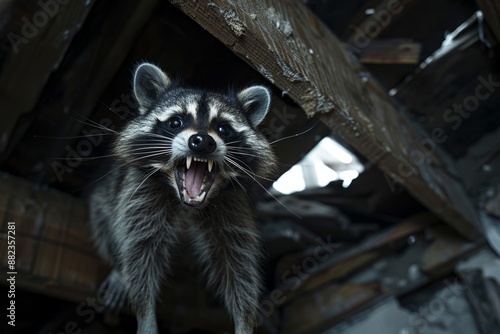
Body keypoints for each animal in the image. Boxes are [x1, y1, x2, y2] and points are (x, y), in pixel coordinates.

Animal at [90, 63, 278, 334]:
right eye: (176, 122)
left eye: (223, 128)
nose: (202, 142)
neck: (188, 205)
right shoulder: (139, 196)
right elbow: (138, 253)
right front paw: (145, 314)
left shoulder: (231, 207)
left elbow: (239, 266)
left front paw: (245, 321)